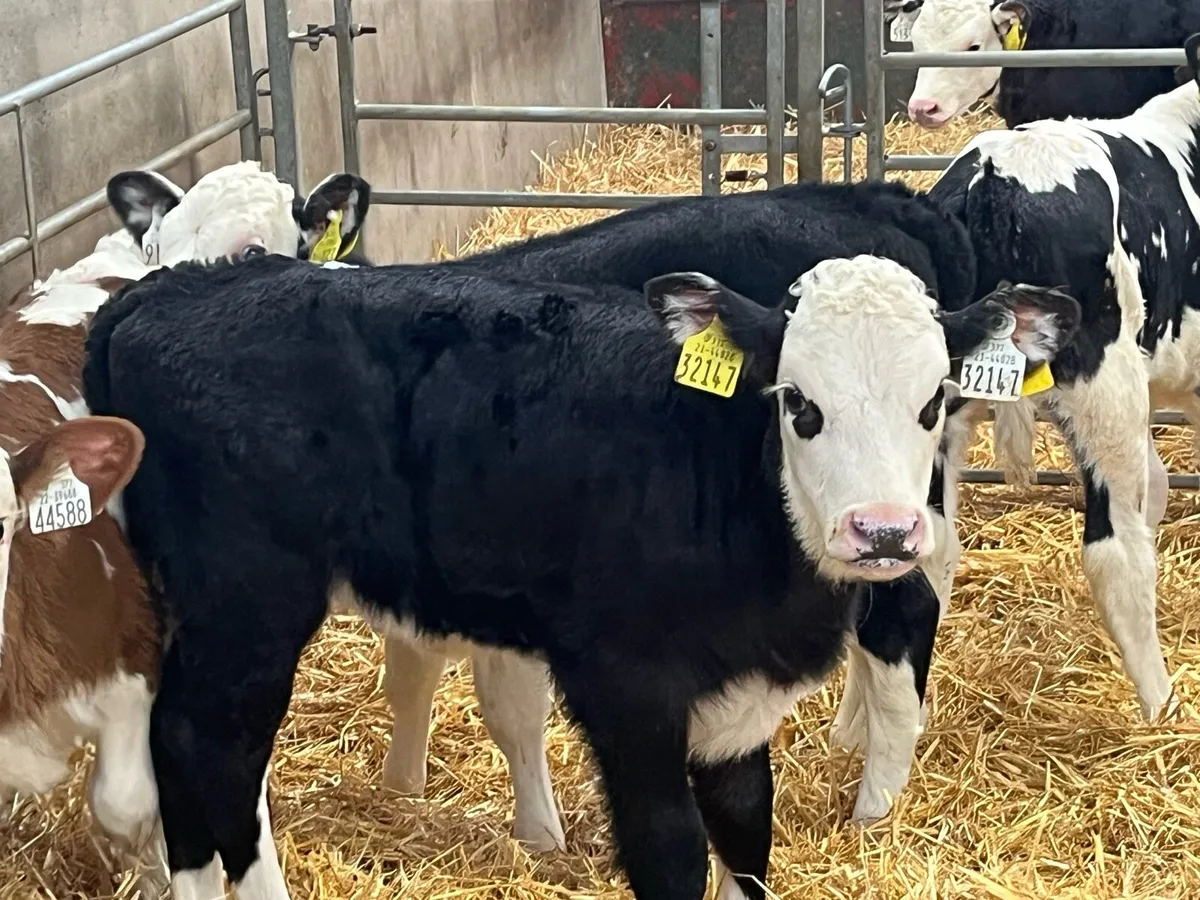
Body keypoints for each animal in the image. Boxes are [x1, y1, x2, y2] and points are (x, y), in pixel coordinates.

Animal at [81, 248, 1081, 900]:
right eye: (799, 403)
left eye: (936, 400)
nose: (882, 531)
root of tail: (170, 288)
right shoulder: (626, 691)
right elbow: (671, 852)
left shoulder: (735, 705)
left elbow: (747, 833)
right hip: (247, 602)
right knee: (213, 748)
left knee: (181, 744)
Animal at [380, 181, 986, 830]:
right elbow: (410, 675)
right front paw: (400, 789)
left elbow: (509, 709)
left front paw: (538, 836)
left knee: (908, 610)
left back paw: (875, 809)